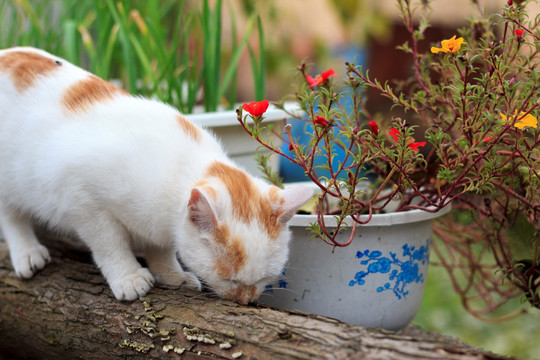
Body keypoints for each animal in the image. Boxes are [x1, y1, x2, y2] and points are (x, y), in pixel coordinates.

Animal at [0, 47, 312, 304]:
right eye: (230, 279)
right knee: (11, 216)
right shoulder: (81, 197)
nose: (245, 300)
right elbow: (109, 243)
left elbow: (159, 246)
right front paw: (128, 276)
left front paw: (171, 274)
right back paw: (27, 253)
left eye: (264, 279)